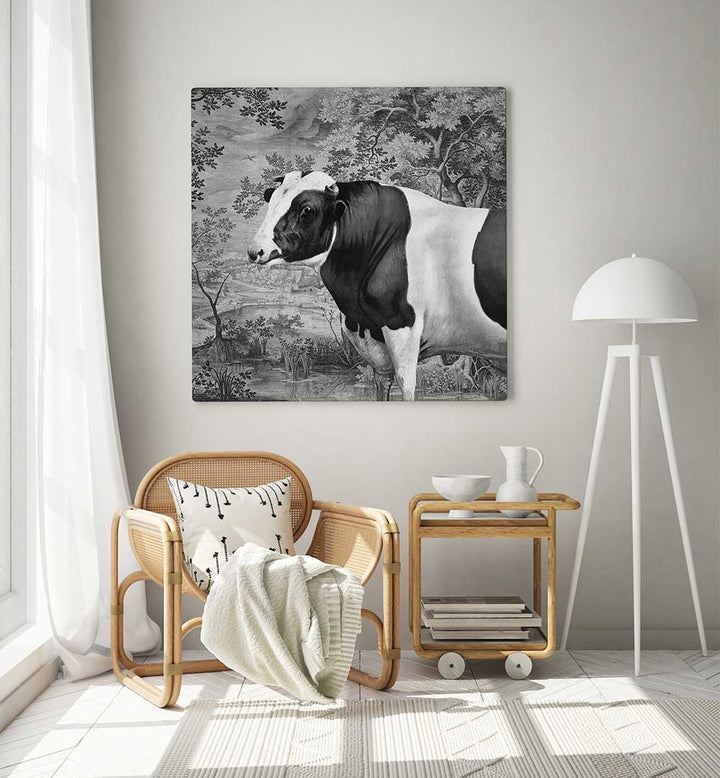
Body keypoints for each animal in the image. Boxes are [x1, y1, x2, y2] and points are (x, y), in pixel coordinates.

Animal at [247, 170, 506, 401]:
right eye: (271, 198)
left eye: (307, 210)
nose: (254, 250)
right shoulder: (374, 340)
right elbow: (382, 385)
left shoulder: (403, 325)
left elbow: (407, 386)